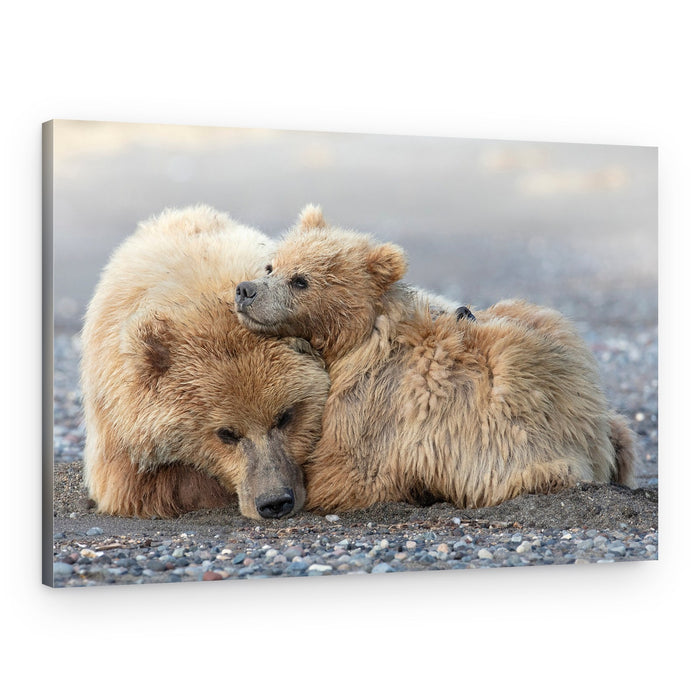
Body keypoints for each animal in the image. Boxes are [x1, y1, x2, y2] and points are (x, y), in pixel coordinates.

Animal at [235, 204, 638, 512]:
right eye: (272, 266)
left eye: (301, 280)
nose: (246, 290)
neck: (356, 339)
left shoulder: (374, 400)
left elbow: (347, 473)